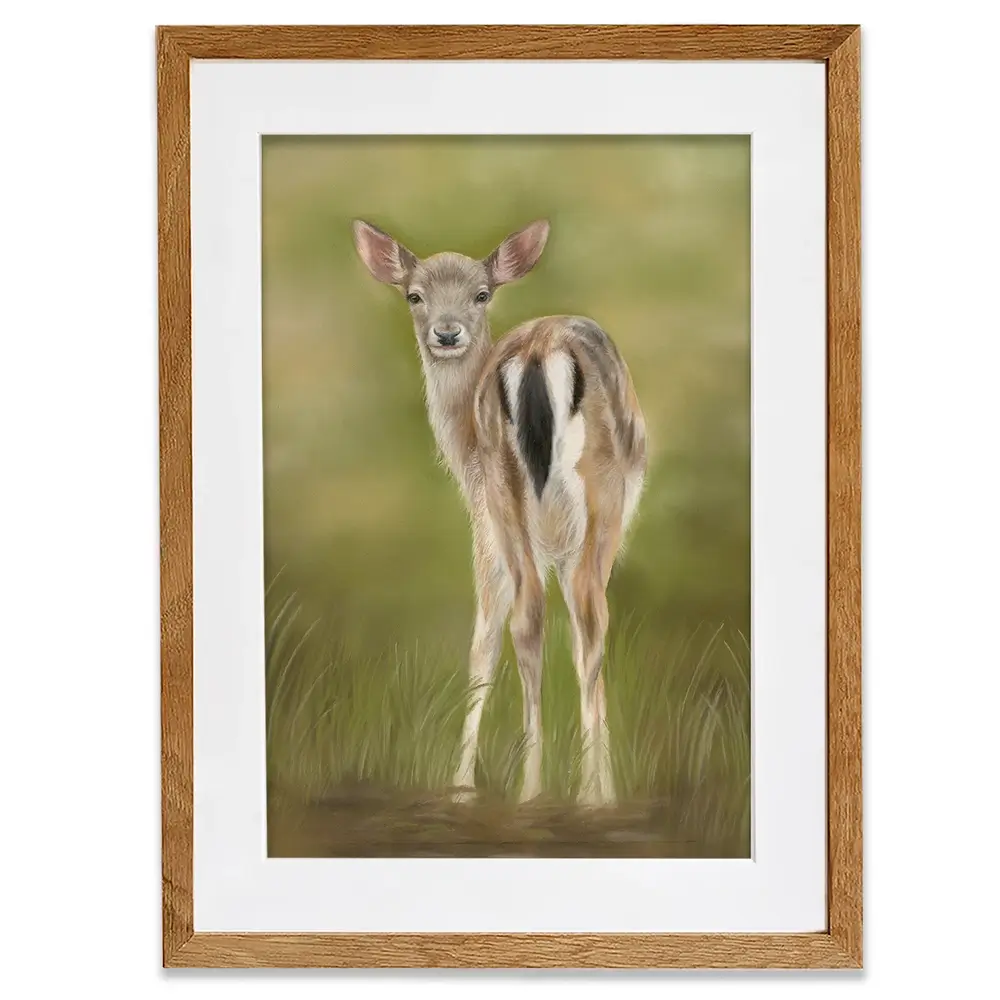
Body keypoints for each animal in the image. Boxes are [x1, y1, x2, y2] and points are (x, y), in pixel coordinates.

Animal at [352, 219, 647, 806]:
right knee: (582, 616)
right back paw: (577, 795)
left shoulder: (493, 524)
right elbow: (497, 642)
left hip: (511, 494)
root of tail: (538, 352)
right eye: (413, 295)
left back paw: (537, 790)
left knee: (537, 616)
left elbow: (490, 639)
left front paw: (462, 785)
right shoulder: (492, 530)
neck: (461, 453)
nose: (446, 334)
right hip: (588, 500)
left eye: (481, 294)